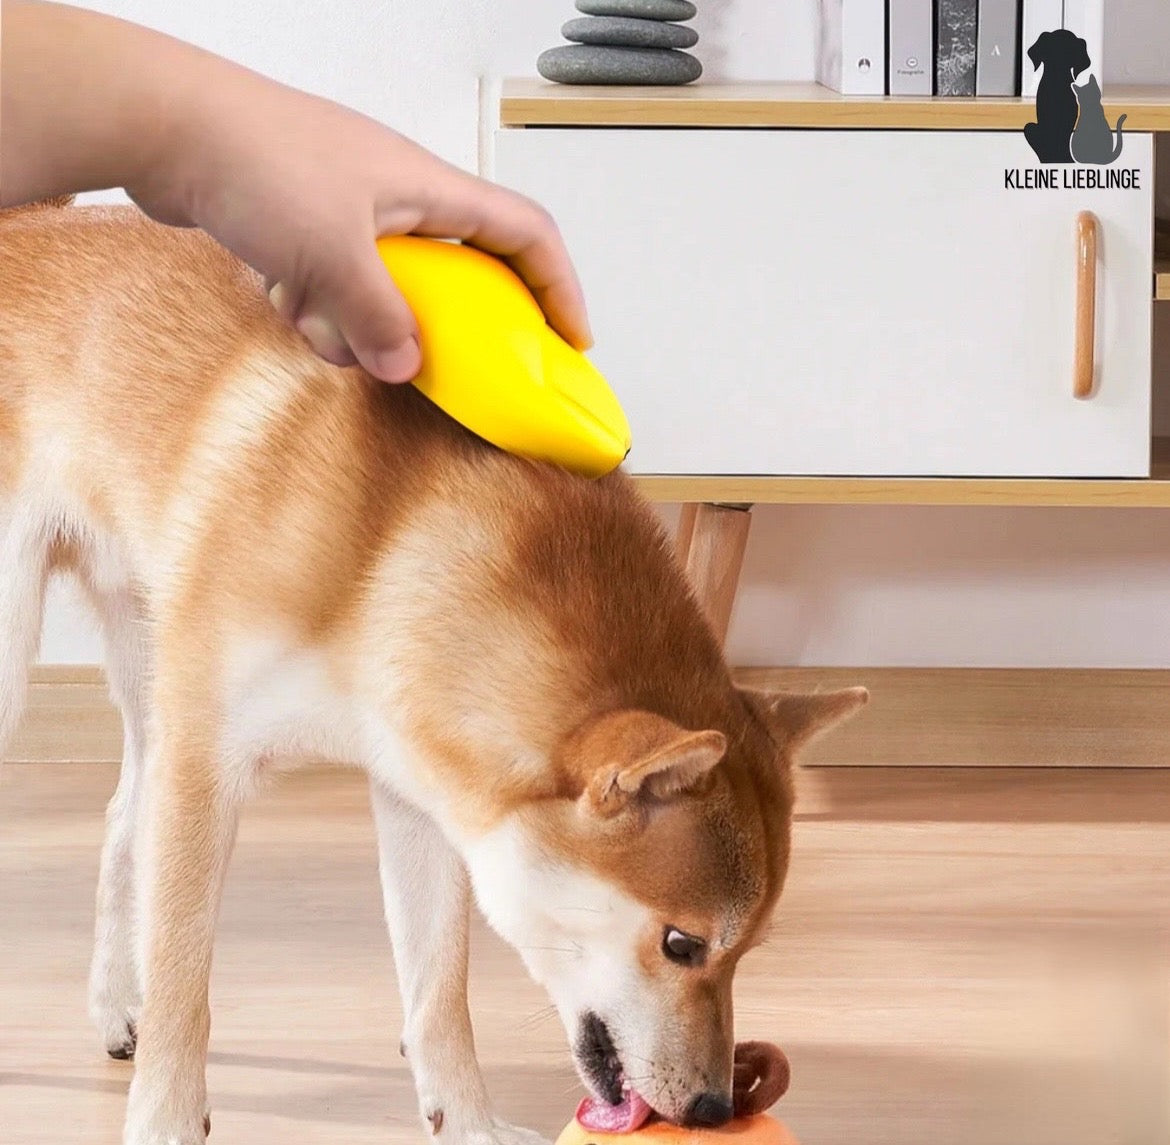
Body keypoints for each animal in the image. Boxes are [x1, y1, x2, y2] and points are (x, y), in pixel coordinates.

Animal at [0, 201, 865, 1145]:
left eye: (747, 951)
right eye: (682, 943)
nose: (713, 1107)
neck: (387, 547)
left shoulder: (419, 789)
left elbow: (439, 986)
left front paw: (468, 1119)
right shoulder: (206, 767)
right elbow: (187, 980)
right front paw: (164, 1119)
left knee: (123, 819)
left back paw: (118, 1001)